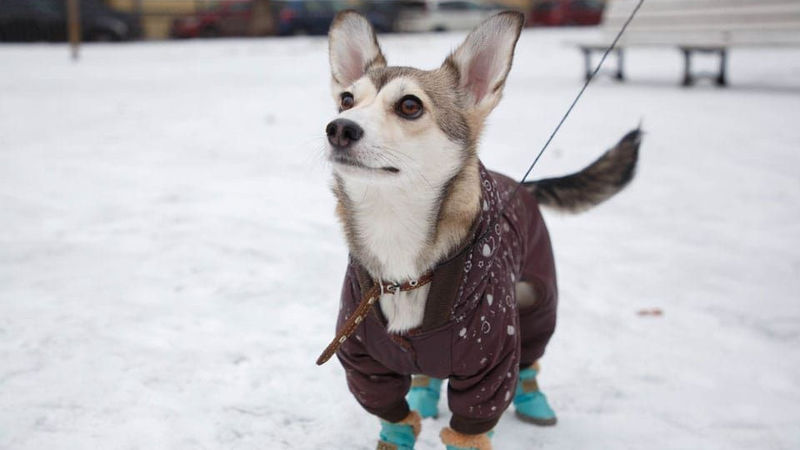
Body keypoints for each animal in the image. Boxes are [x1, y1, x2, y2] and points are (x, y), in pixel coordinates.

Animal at [318, 10, 636, 450]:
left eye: (410, 105)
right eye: (347, 99)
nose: (339, 128)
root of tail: (522, 186)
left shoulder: (491, 364)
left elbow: (471, 426)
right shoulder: (364, 364)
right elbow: (394, 417)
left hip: (537, 300)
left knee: (530, 357)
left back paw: (535, 402)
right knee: (429, 371)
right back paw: (425, 392)